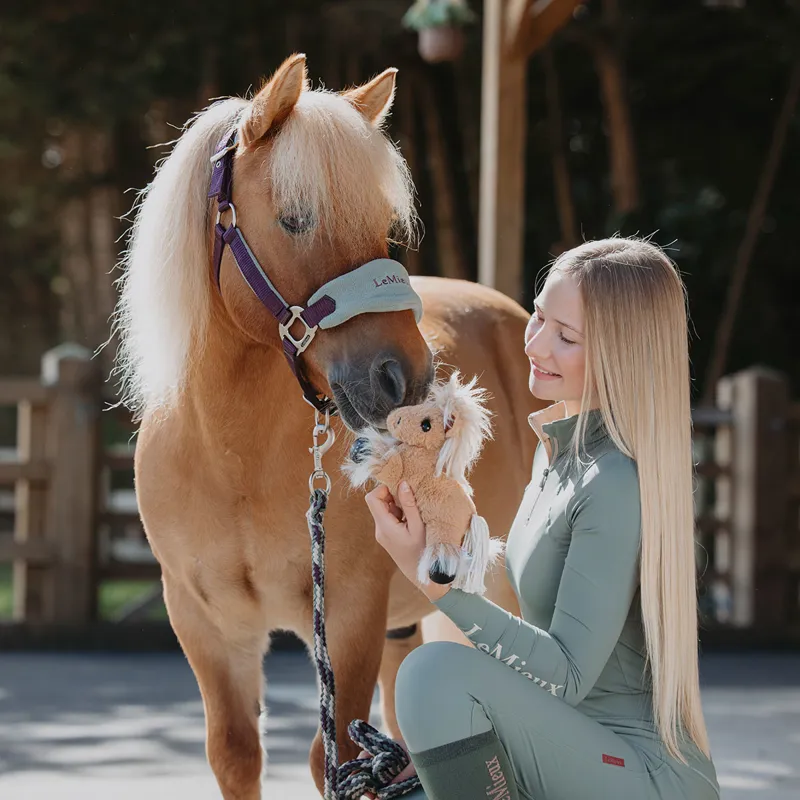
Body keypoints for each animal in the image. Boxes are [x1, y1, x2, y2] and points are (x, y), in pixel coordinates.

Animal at [115, 53, 539, 799]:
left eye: (383, 224)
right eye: (294, 218)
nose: (406, 378)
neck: (234, 458)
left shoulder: (347, 618)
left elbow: (332, 758)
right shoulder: (205, 625)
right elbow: (236, 752)